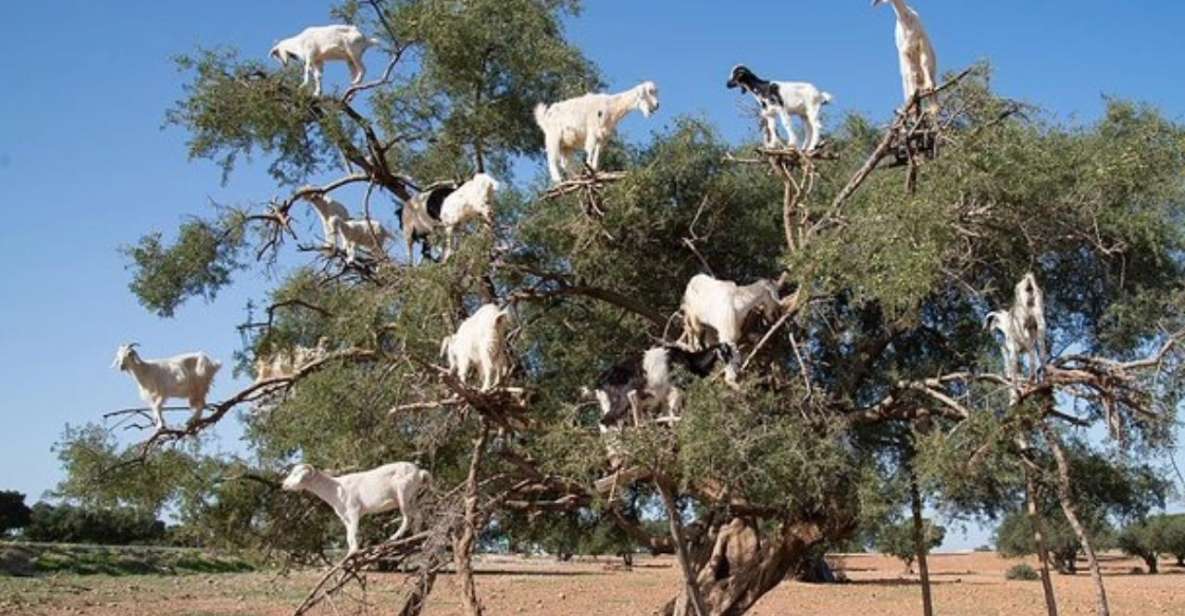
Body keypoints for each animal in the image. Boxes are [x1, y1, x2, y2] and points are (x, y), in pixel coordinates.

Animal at [280, 459, 431, 556]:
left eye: (296, 474)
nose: (284, 485)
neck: (335, 489)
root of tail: (419, 472)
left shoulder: (354, 511)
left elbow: (353, 532)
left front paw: (354, 551)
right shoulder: (344, 517)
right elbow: (348, 535)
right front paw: (350, 552)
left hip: (403, 494)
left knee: (407, 517)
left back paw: (395, 537)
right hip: (412, 498)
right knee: (418, 515)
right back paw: (417, 539)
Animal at [535, 81, 663, 182]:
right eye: (649, 92)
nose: (657, 105)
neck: (611, 107)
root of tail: (545, 116)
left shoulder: (603, 135)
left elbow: (598, 151)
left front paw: (594, 170)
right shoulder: (592, 131)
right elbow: (590, 150)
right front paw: (588, 172)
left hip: (566, 145)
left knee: (565, 162)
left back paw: (574, 177)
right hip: (553, 137)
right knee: (552, 159)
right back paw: (558, 180)